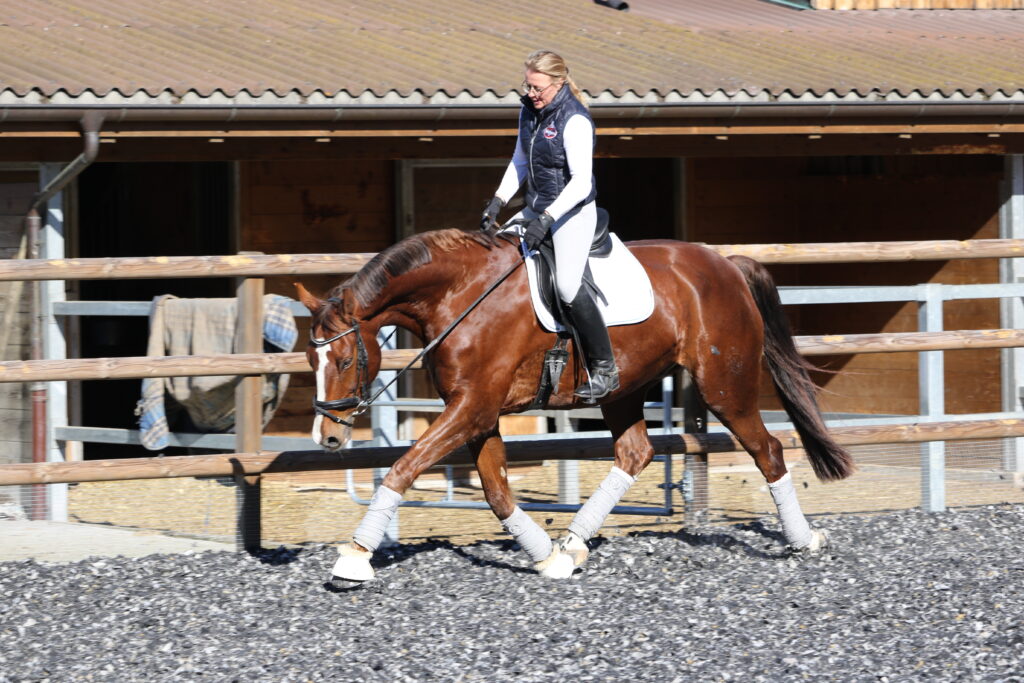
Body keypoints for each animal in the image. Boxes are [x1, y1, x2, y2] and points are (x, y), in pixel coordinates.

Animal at [296, 228, 855, 581]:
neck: (461, 296)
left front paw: (353, 559)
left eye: (342, 359)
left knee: (769, 452)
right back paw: (572, 544)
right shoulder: (476, 413)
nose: (329, 437)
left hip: (724, 387)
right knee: (634, 453)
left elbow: (403, 469)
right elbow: (497, 492)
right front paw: (548, 558)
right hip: (622, 391)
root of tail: (727, 266)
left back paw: (804, 540)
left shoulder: (472, 408)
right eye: (308, 357)